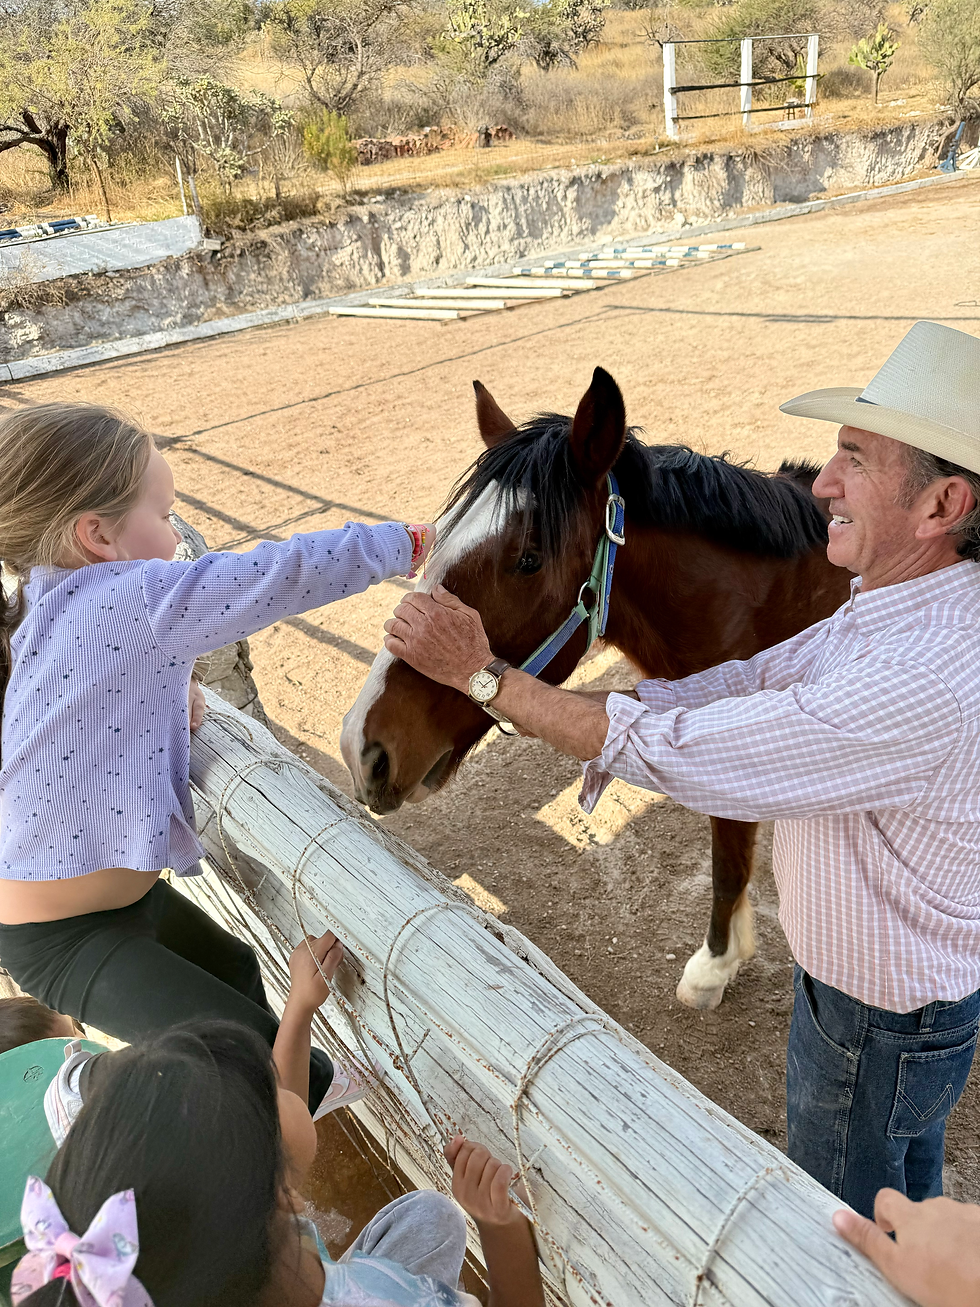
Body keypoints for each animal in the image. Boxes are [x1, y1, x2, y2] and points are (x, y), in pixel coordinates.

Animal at [342, 367, 851, 1009]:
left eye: (529, 560)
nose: (361, 750)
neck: (772, 606)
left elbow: (730, 858)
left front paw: (714, 966)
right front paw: (730, 952)